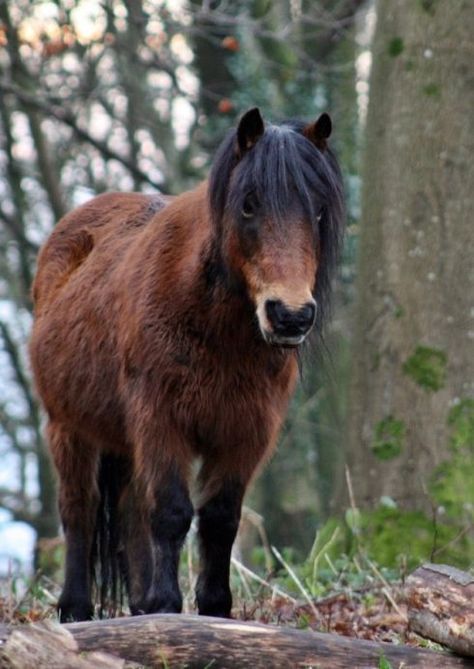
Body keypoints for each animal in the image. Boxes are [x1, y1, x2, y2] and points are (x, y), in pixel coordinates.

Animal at [31, 107, 346, 620]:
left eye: (318, 210)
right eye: (249, 205)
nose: (290, 315)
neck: (217, 332)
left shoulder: (246, 433)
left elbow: (219, 519)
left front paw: (212, 611)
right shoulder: (161, 422)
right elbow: (171, 512)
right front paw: (167, 605)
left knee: (129, 510)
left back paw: (139, 608)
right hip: (68, 428)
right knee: (79, 509)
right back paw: (77, 610)